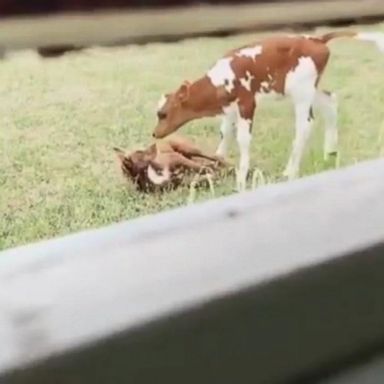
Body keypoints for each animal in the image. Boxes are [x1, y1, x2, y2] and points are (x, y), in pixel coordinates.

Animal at [153, 29, 384, 190]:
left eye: (162, 114)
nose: (154, 134)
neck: (218, 83)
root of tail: (316, 39)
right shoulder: (230, 109)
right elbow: (225, 132)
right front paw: (217, 161)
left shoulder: (247, 103)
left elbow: (243, 139)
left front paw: (241, 179)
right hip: (307, 88)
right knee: (330, 101)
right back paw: (330, 152)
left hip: (301, 91)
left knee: (304, 126)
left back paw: (291, 171)